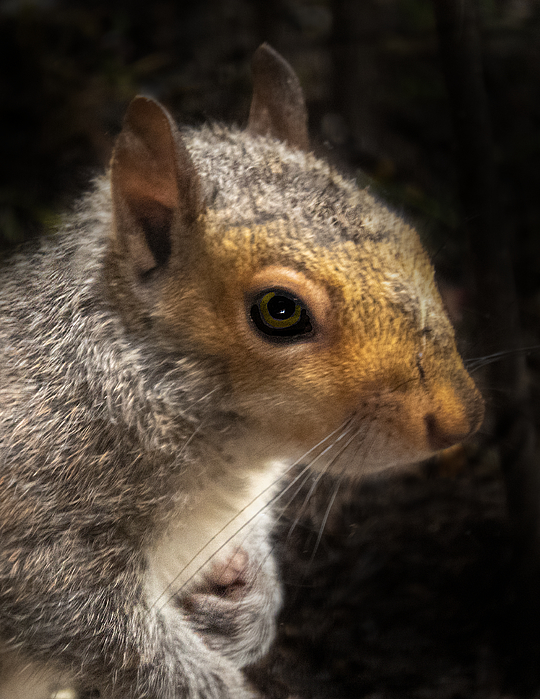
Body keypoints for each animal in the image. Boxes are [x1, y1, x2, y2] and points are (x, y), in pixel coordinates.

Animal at [0, 44, 483, 699]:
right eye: (280, 311)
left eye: (414, 243)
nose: (462, 421)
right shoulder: (33, 521)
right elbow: (88, 622)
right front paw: (210, 683)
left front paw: (250, 607)